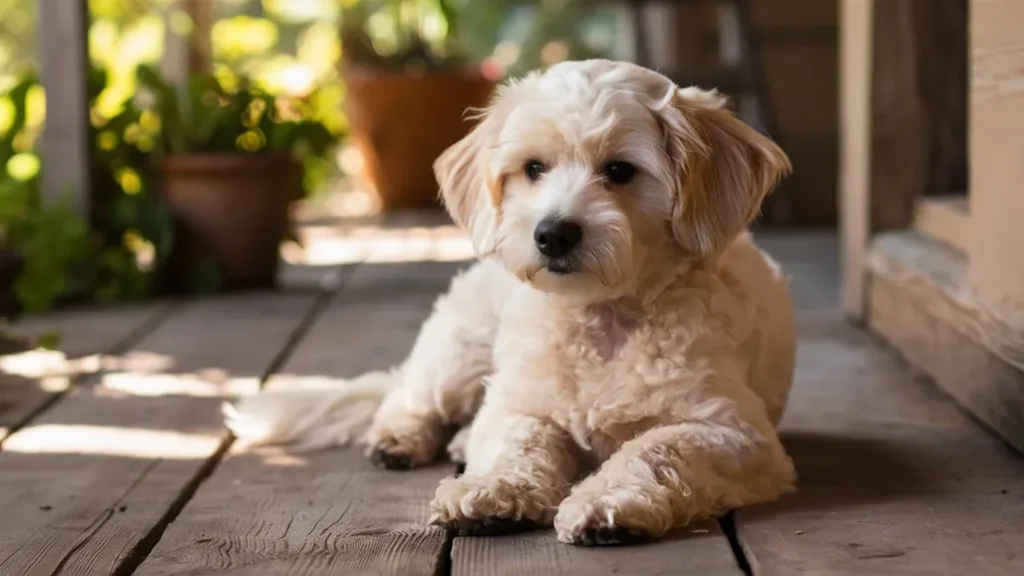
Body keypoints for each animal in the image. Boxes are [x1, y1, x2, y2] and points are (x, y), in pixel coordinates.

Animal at [226, 59, 798, 545]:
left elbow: (658, 445)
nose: (553, 233)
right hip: (460, 349)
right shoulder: (524, 401)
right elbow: (520, 438)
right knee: (409, 397)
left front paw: (608, 501)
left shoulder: (734, 432)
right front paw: (495, 489)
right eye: (533, 168)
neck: (602, 318)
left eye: (619, 171)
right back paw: (400, 437)